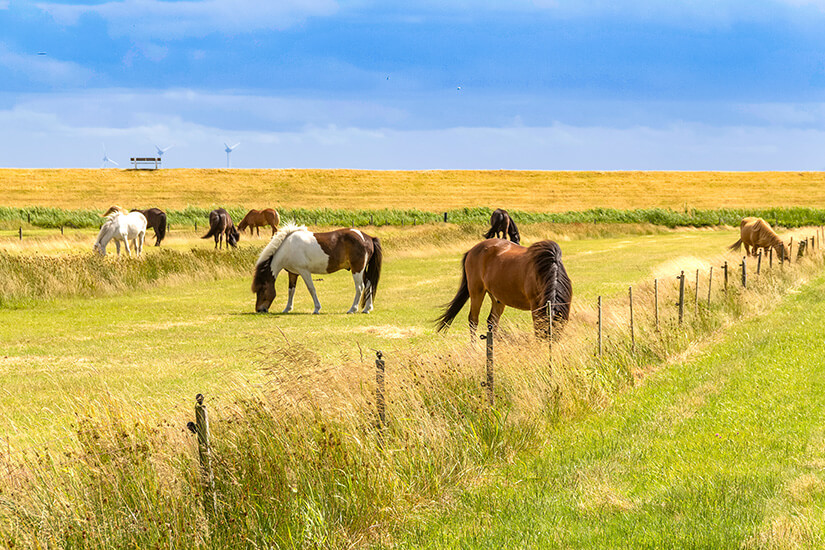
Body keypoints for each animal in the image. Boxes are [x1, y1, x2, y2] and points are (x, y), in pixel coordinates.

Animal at [251, 221, 384, 314]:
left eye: (262, 289)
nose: (259, 310)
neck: (288, 247)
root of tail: (368, 238)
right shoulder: (293, 273)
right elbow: (291, 290)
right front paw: (287, 308)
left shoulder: (304, 272)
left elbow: (311, 289)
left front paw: (316, 308)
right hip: (362, 270)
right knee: (369, 284)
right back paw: (367, 308)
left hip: (357, 269)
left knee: (360, 287)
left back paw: (353, 309)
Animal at [434, 238, 568, 338]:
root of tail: (472, 250)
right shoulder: (535, 306)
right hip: (476, 291)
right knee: (473, 320)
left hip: (497, 298)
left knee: (492, 321)